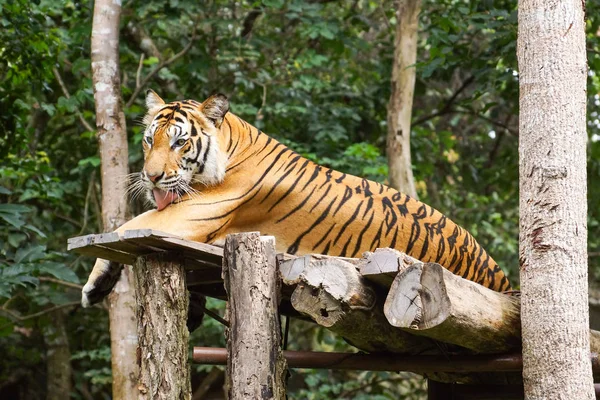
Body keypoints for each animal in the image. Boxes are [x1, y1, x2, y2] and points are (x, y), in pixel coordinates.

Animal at [78, 90, 510, 308]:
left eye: (179, 142)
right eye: (150, 139)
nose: (151, 177)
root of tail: (501, 279)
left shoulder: (187, 217)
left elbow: (126, 227)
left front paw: (93, 284)